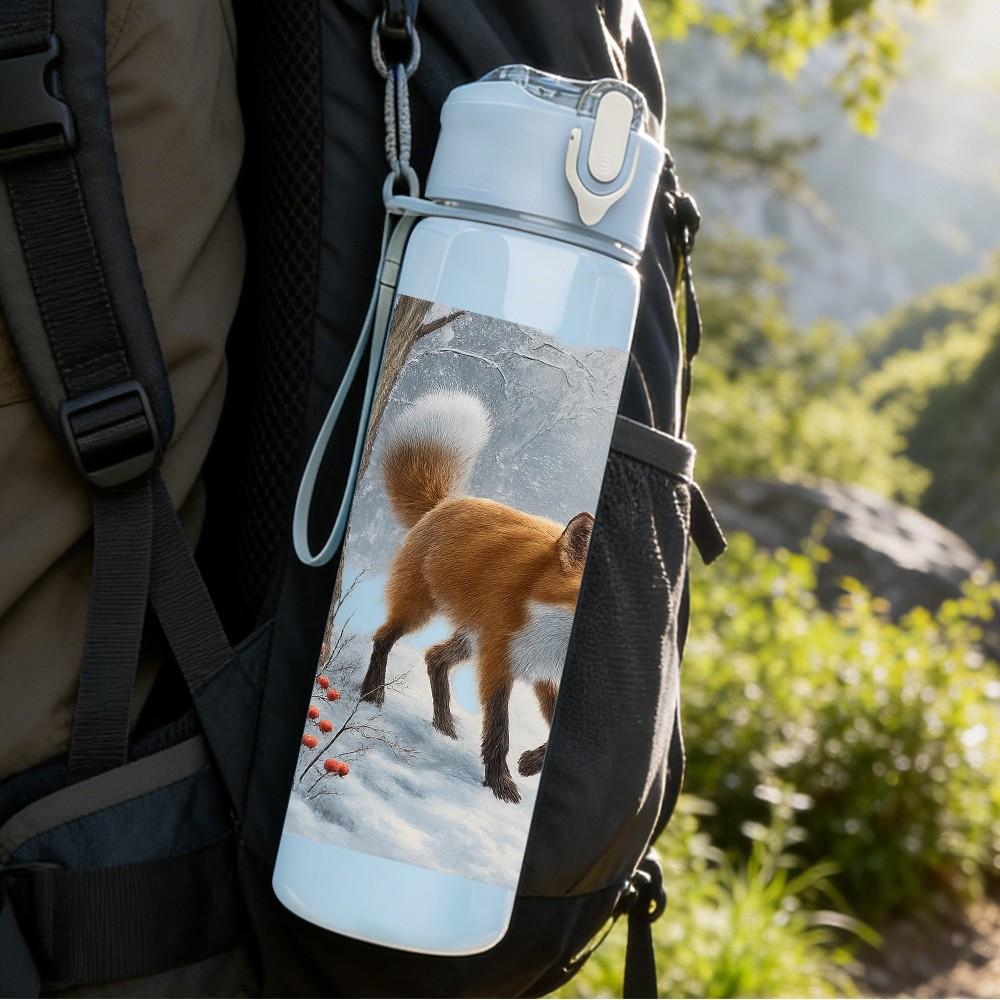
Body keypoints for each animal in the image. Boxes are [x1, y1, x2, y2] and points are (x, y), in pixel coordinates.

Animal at [360, 390, 593, 804]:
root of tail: (443, 503)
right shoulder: (498, 661)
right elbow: (499, 729)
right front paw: (500, 783)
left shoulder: (545, 676)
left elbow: (554, 739)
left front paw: (529, 764)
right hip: (422, 611)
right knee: (384, 637)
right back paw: (372, 693)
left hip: (470, 638)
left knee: (434, 657)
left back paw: (443, 724)